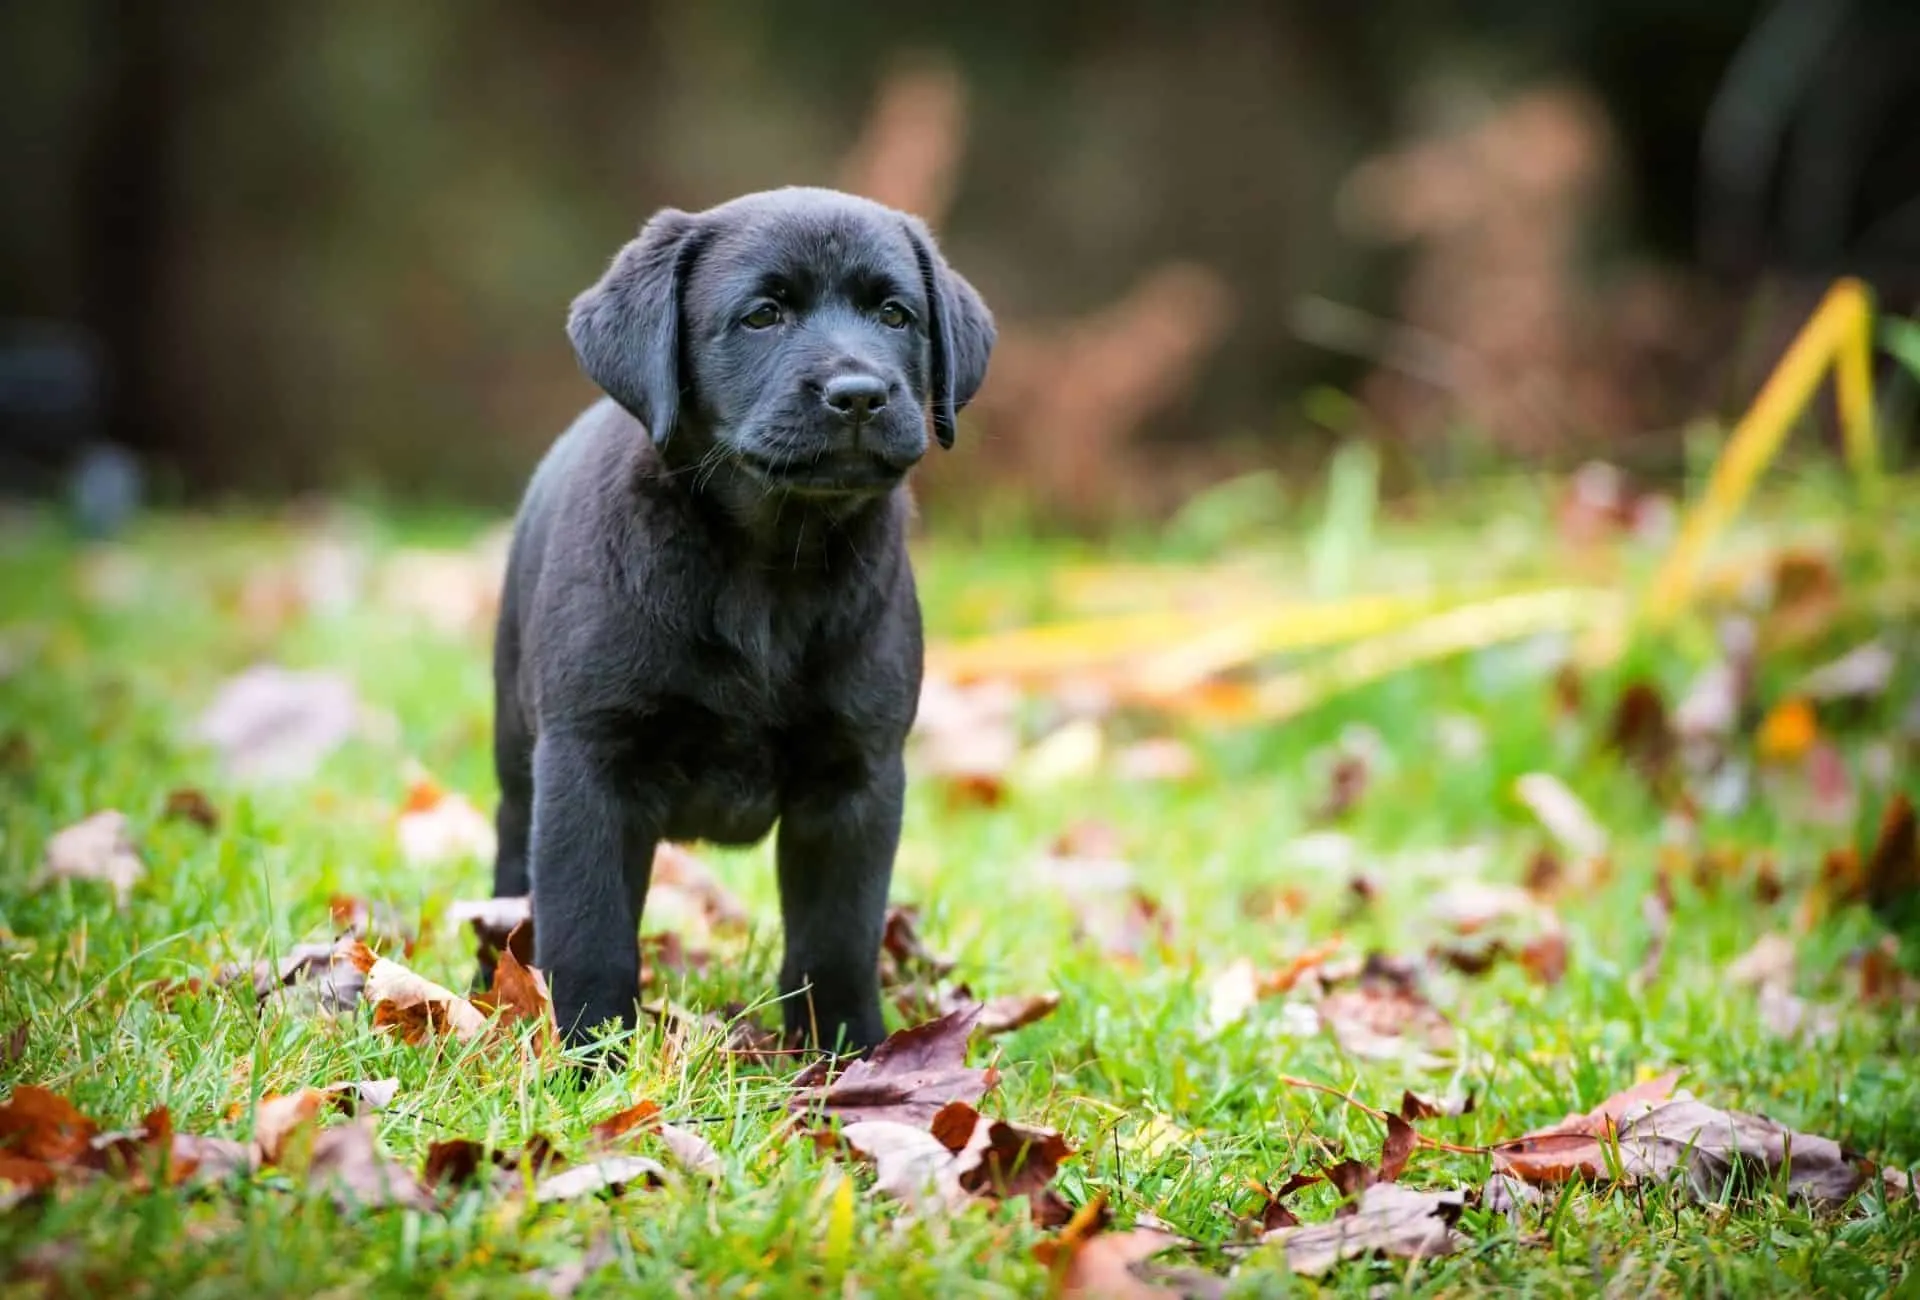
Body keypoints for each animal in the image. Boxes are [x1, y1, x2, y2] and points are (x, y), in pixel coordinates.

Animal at [487, 185, 998, 1052]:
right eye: (762, 316)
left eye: (896, 315)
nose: (860, 394)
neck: (771, 563)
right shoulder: (589, 763)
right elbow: (589, 933)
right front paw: (590, 1058)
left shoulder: (857, 778)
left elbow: (836, 937)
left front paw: (848, 1056)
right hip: (517, 754)